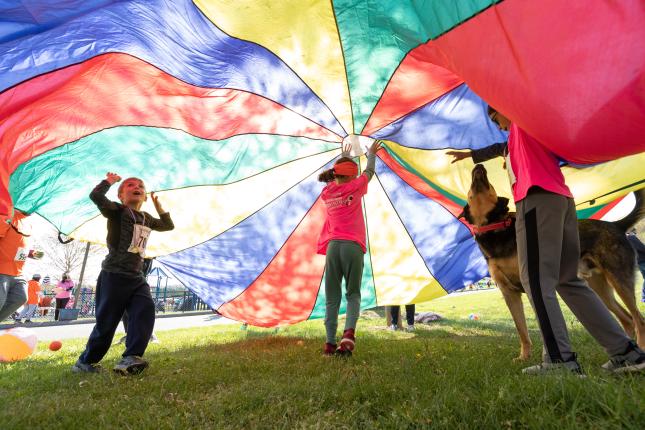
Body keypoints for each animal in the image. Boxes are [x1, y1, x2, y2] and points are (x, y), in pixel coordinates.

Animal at [458, 165, 644, 360]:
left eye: (490, 186)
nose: (479, 166)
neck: (495, 228)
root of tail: (616, 224)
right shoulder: (509, 293)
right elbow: (521, 330)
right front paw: (524, 357)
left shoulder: (534, 286)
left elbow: (543, 326)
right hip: (599, 289)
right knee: (628, 319)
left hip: (619, 281)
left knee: (639, 320)